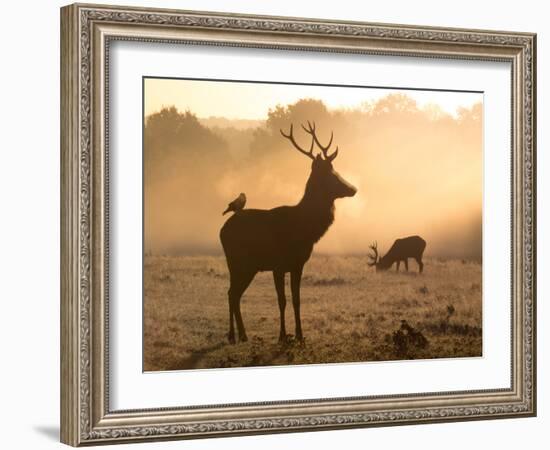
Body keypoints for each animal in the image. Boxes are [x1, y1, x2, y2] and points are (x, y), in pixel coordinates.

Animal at [220, 121, 358, 342]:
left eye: (335, 171)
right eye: (330, 175)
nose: (353, 188)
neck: (304, 229)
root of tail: (222, 230)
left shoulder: (298, 264)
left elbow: (296, 299)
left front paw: (300, 336)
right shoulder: (278, 265)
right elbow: (282, 300)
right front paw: (283, 336)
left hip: (247, 266)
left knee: (234, 293)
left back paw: (242, 334)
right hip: (237, 261)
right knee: (232, 293)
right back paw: (235, 335)